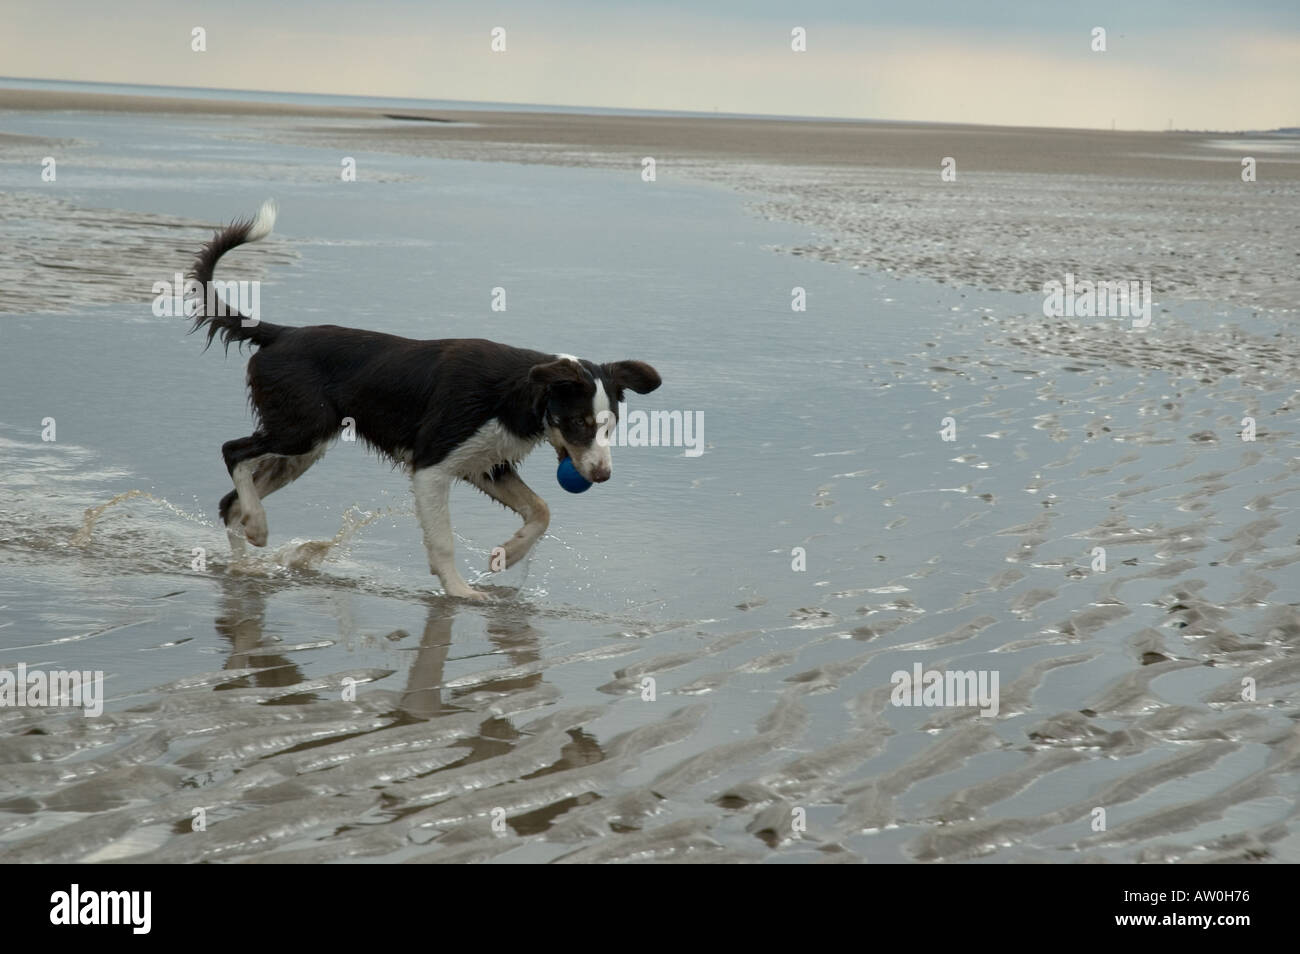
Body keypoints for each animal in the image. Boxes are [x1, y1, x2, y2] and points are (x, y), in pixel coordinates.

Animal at [185, 201, 660, 597]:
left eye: (612, 427)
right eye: (579, 424)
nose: (602, 475)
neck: (515, 392)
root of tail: (280, 333)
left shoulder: (486, 463)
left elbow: (540, 510)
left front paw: (507, 554)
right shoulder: (432, 465)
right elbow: (443, 540)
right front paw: (460, 592)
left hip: (304, 446)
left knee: (230, 503)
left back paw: (246, 562)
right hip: (301, 429)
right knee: (233, 452)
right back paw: (258, 528)